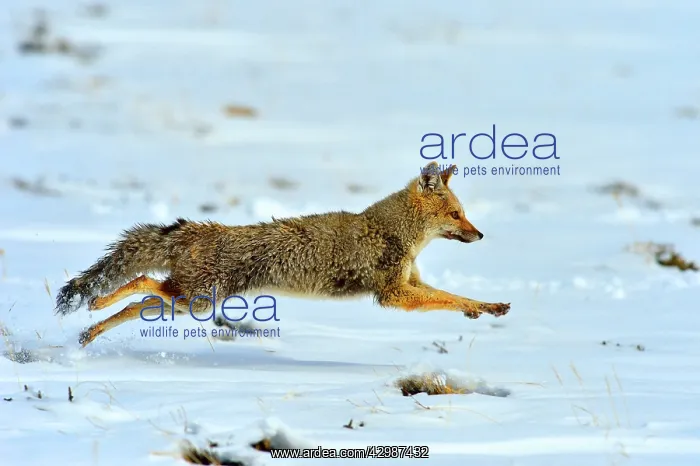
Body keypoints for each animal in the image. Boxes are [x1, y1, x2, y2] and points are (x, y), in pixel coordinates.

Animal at [55, 161, 510, 346]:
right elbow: (445, 300)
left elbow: (452, 297)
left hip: (188, 303)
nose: (481, 234)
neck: (393, 233)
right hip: (196, 299)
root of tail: (198, 229)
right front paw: (483, 308)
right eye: (457, 215)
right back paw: (96, 306)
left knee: (140, 298)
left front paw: (485, 307)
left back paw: (90, 330)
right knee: (142, 282)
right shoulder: (393, 295)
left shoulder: (410, 284)